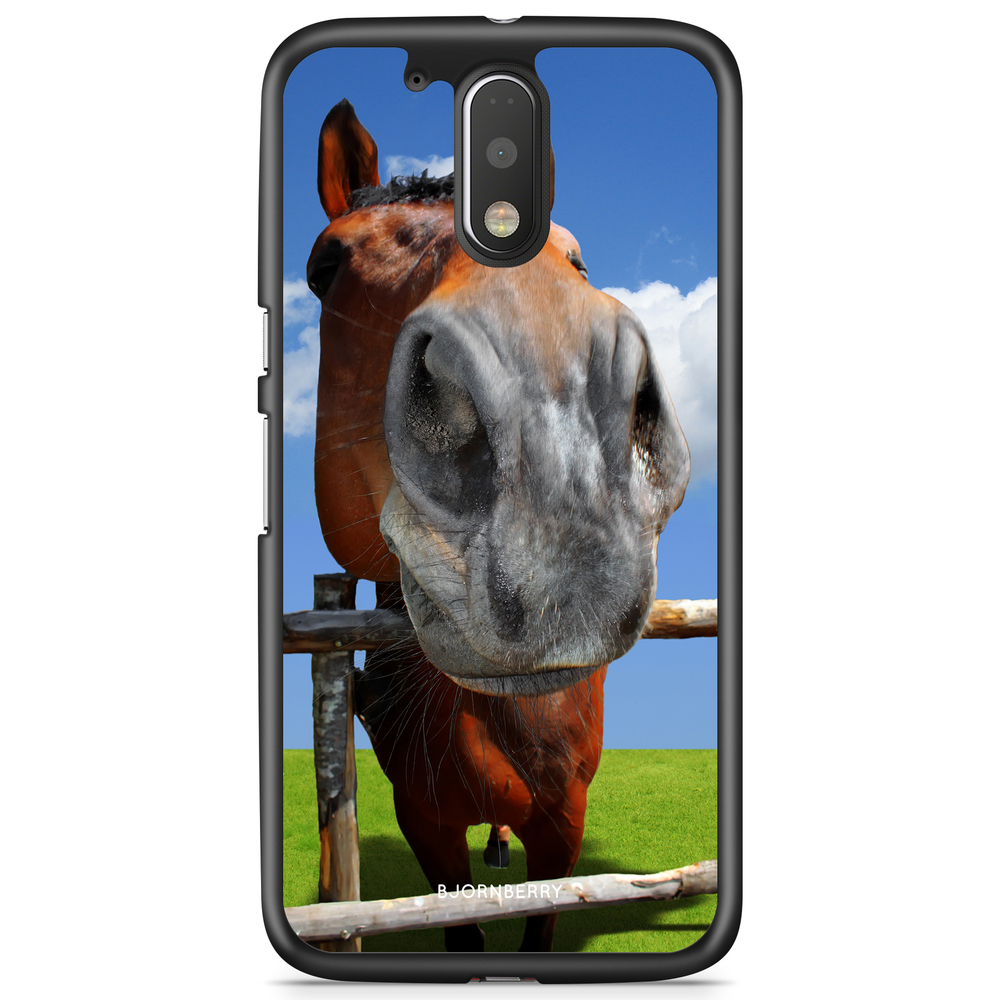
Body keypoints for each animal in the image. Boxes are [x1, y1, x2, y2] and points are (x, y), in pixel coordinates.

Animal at [306, 99, 690, 951]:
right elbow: (466, 932)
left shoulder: (565, 826)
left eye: (577, 259)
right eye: (324, 268)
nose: (558, 446)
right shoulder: (426, 828)